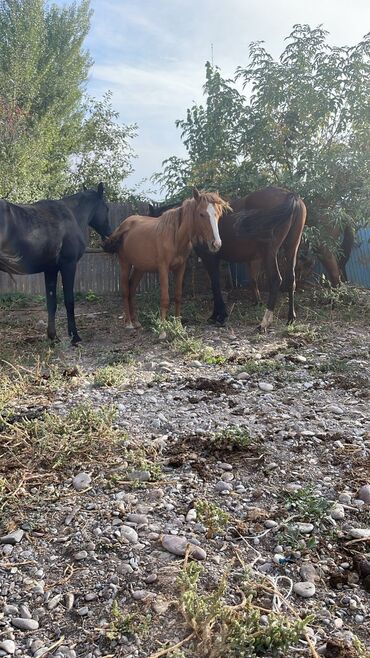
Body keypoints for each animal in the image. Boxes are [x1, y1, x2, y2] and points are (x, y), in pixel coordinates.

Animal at [0, 181, 110, 340]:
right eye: (107, 208)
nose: (109, 233)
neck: (71, 215)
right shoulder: (68, 265)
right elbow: (69, 301)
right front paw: (74, 336)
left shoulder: (50, 269)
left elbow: (51, 303)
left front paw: (53, 336)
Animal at [102, 187, 228, 326]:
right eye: (201, 214)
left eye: (218, 214)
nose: (216, 244)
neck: (175, 237)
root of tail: (123, 225)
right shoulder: (163, 268)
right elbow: (165, 299)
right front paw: (162, 326)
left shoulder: (180, 268)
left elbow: (178, 296)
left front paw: (178, 324)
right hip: (125, 263)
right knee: (125, 291)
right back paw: (129, 322)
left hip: (139, 268)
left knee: (132, 289)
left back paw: (136, 321)